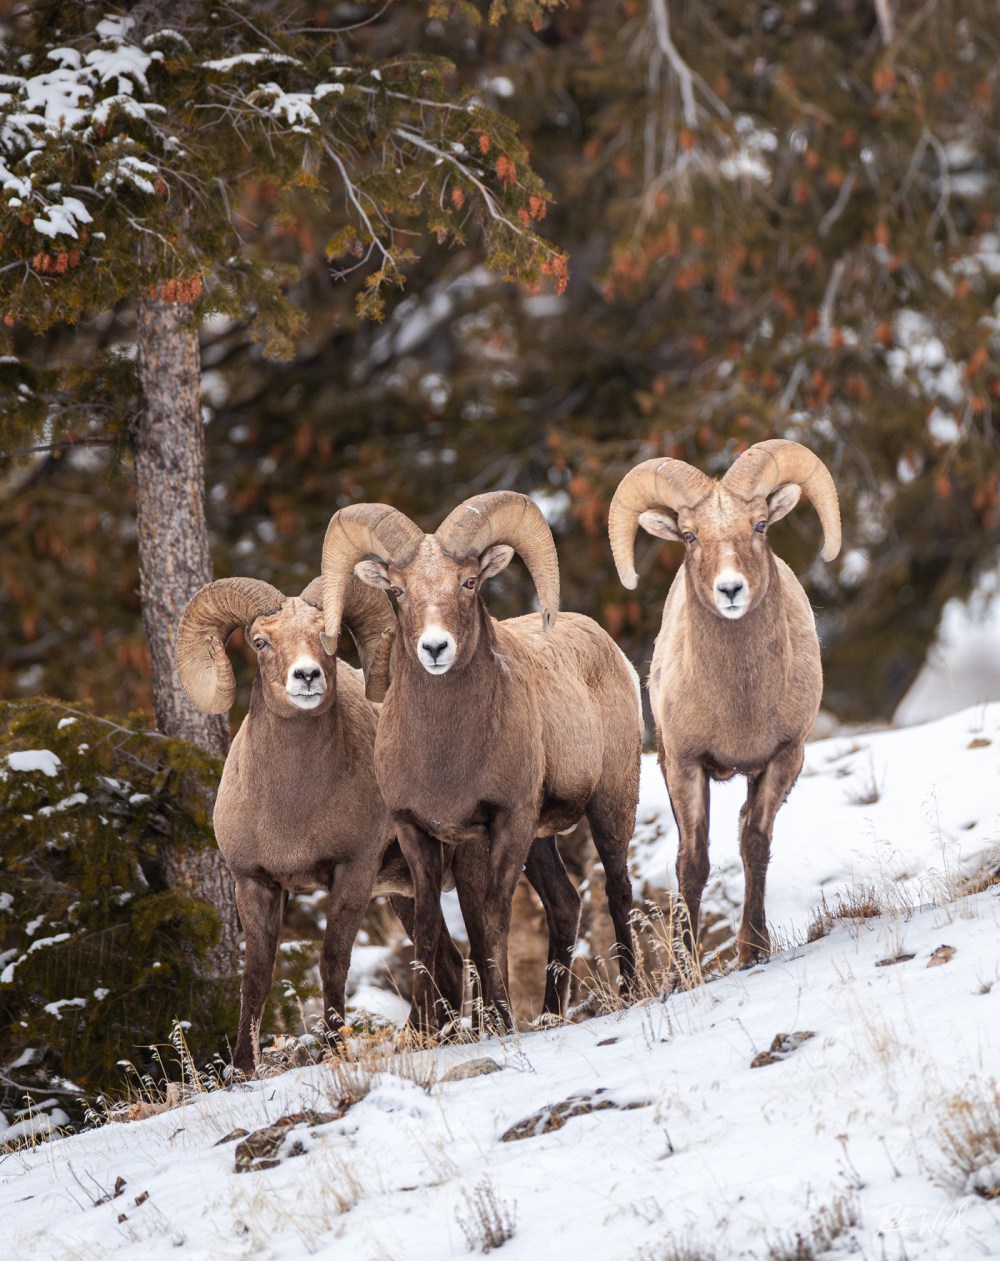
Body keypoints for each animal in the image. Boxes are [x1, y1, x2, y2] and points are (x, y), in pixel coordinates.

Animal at [175, 574, 464, 1073]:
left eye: (327, 639)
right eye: (260, 641)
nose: (307, 676)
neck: (292, 808)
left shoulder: (352, 873)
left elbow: (332, 961)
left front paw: (333, 1049)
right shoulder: (254, 883)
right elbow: (255, 977)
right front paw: (242, 1069)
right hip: (405, 894)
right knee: (448, 962)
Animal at [319, 491, 642, 1032]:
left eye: (468, 582)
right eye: (399, 590)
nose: (435, 647)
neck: (445, 753)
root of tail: (612, 649)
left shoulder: (508, 822)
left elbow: (491, 920)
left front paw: (500, 1022)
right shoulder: (419, 833)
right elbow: (431, 929)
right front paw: (432, 1030)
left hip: (609, 804)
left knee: (617, 889)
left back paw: (632, 993)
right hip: (540, 841)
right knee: (565, 904)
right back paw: (550, 1014)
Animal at [608, 439, 841, 968]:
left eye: (760, 524)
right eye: (689, 535)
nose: (731, 589)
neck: (740, 706)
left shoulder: (784, 758)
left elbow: (755, 843)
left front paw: (752, 949)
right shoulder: (685, 765)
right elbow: (692, 864)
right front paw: (682, 972)